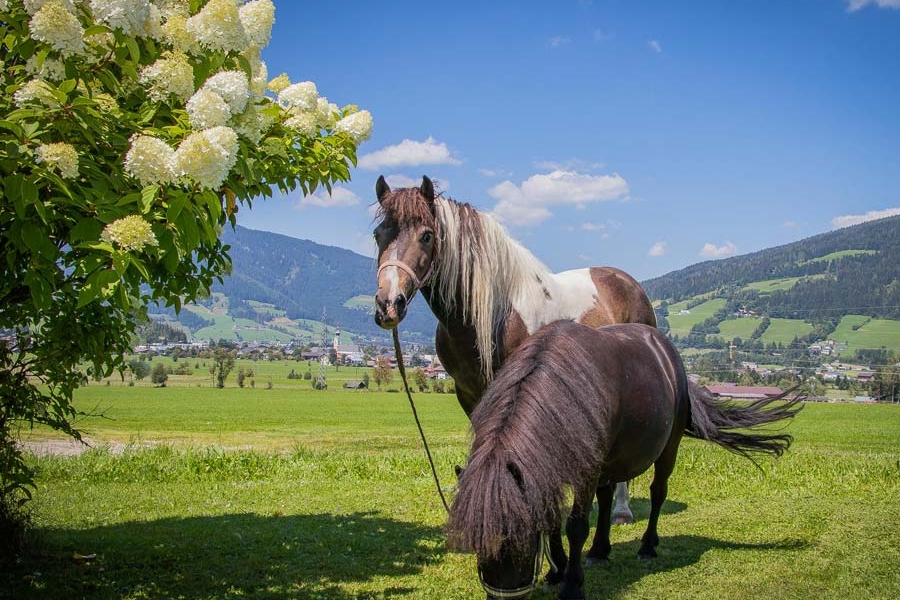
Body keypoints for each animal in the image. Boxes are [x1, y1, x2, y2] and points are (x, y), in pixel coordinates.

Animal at [372, 173, 652, 524]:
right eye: (378, 235)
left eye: (426, 235)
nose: (388, 304)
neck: (492, 312)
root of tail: (627, 282)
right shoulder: (468, 393)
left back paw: (621, 510)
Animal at [450, 324, 800, 600]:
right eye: (477, 543)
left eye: (518, 539)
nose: (501, 597)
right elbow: (552, 520)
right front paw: (556, 572)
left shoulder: (585, 472)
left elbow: (575, 526)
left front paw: (572, 585)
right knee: (606, 500)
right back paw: (600, 551)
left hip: (667, 449)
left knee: (658, 492)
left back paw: (647, 547)